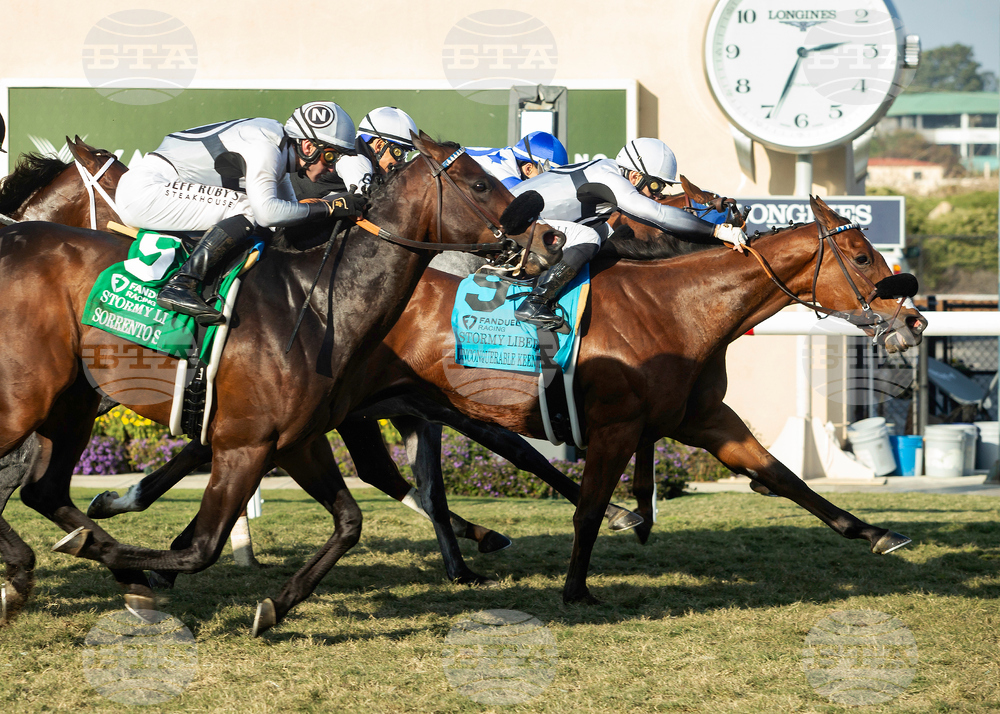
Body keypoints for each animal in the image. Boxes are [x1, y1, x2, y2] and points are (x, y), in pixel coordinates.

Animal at [0, 133, 562, 634]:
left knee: (44, 491)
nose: (551, 238)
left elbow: (349, 522)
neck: (317, 303)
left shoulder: (294, 440)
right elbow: (202, 547)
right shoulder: (246, 442)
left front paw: (273, 608)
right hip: (27, 402)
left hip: (68, 407)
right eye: (480, 183)